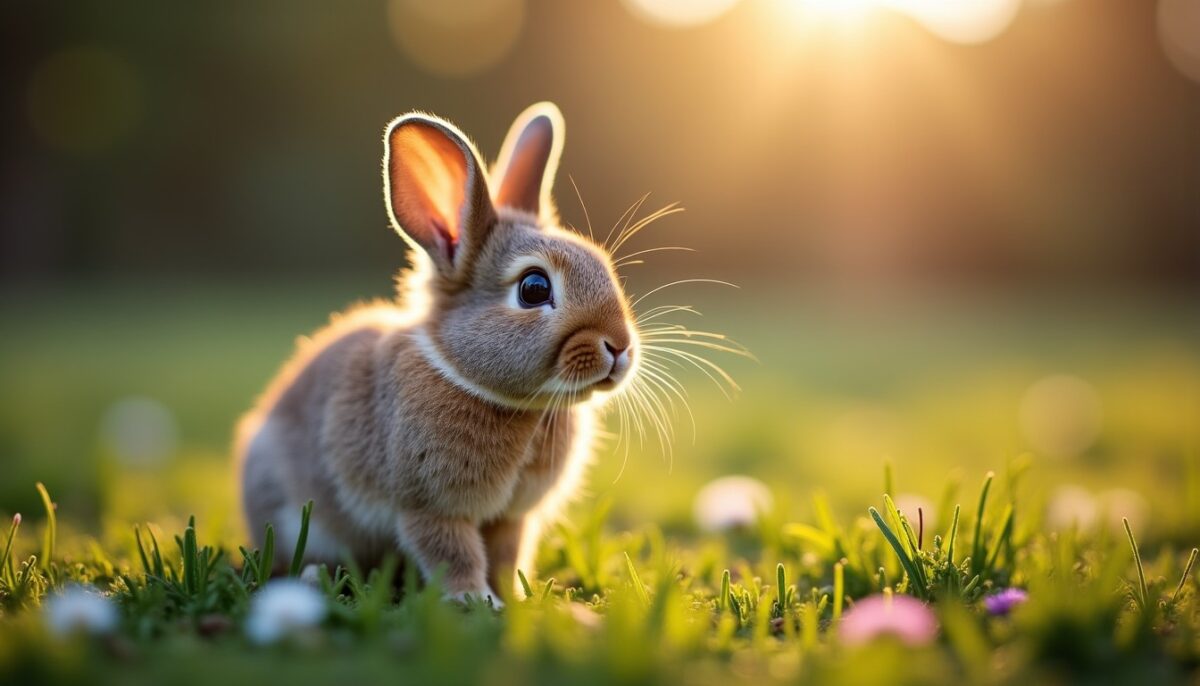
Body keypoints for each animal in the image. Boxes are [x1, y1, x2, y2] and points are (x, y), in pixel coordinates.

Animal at [236, 102, 637, 606]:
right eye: (534, 288)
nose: (619, 347)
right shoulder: (429, 507)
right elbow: (453, 552)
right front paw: (473, 601)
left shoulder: (510, 517)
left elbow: (506, 554)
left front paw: (514, 599)